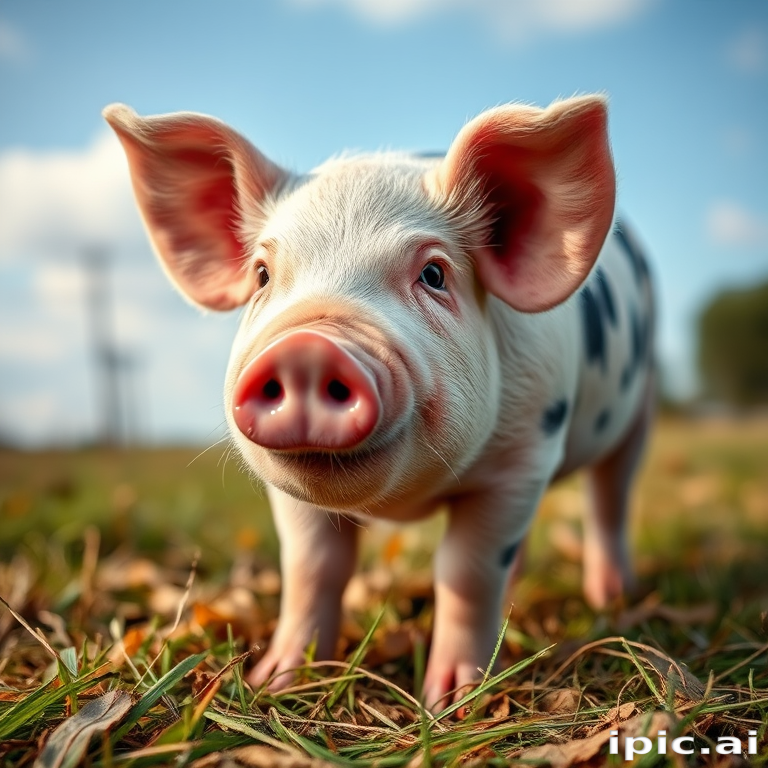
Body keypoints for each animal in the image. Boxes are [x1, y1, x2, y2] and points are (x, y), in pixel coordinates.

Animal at [104, 95, 654, 710]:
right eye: (263, 275)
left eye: (434, 274)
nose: (307, 348)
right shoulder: (289, 495)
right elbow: (312, 567)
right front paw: (275, 682)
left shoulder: (524, 458)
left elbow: (466, 569)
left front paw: (452, 702)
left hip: (640, 405)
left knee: (610, 496)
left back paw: (612, 598)